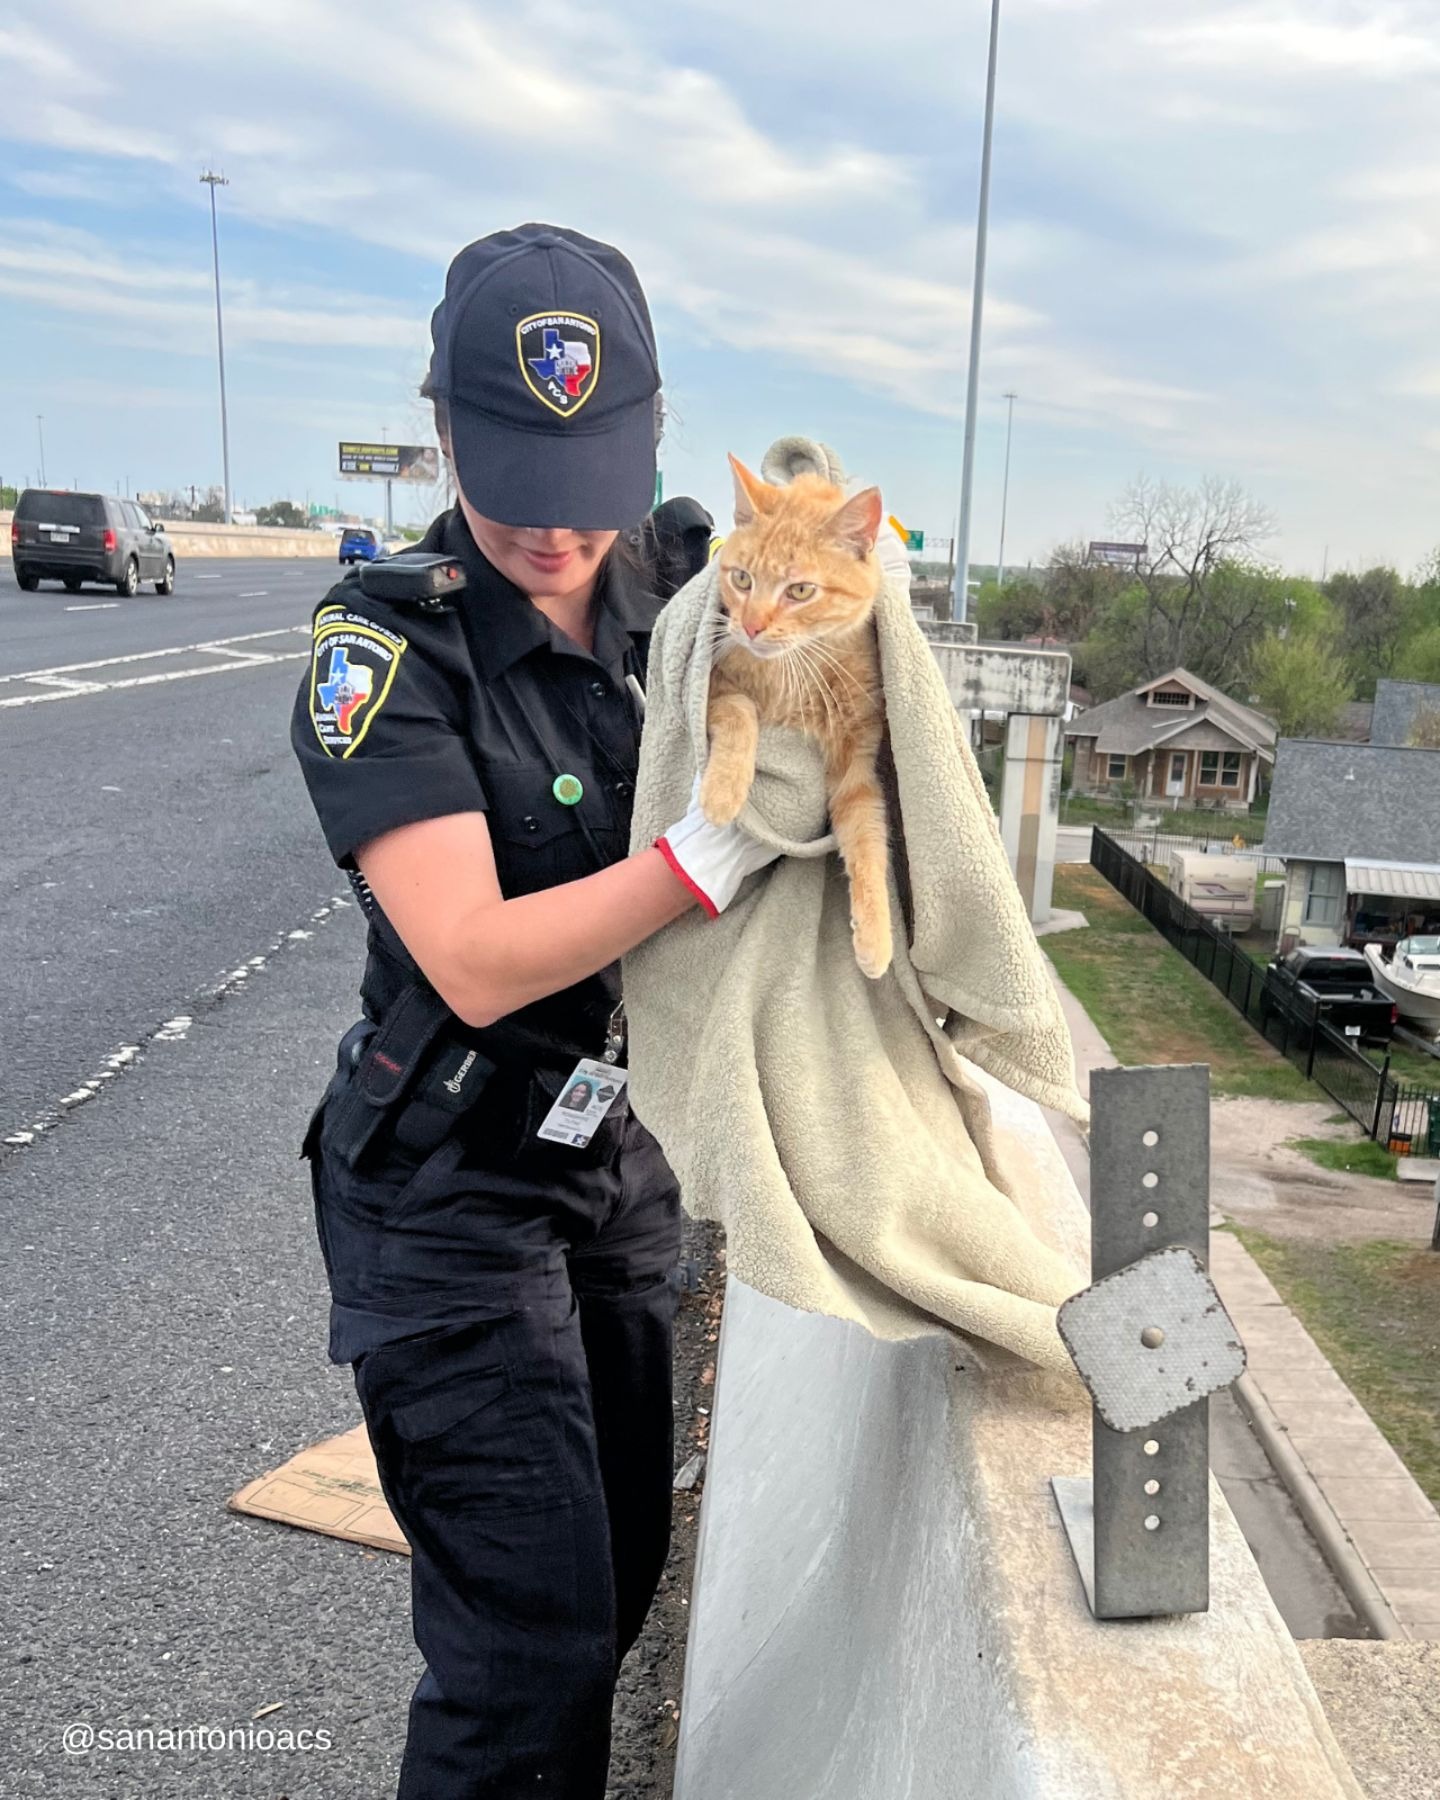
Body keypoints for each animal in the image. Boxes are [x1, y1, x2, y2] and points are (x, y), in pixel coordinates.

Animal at [698, 457, 889, 979]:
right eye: (742, 579)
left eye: (801, 590)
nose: (750, 626)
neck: (793, 670)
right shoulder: (716, 685)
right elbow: (741, 709)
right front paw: (723, 790)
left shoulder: (857, 759)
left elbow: (868, 837)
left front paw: (876, 934)